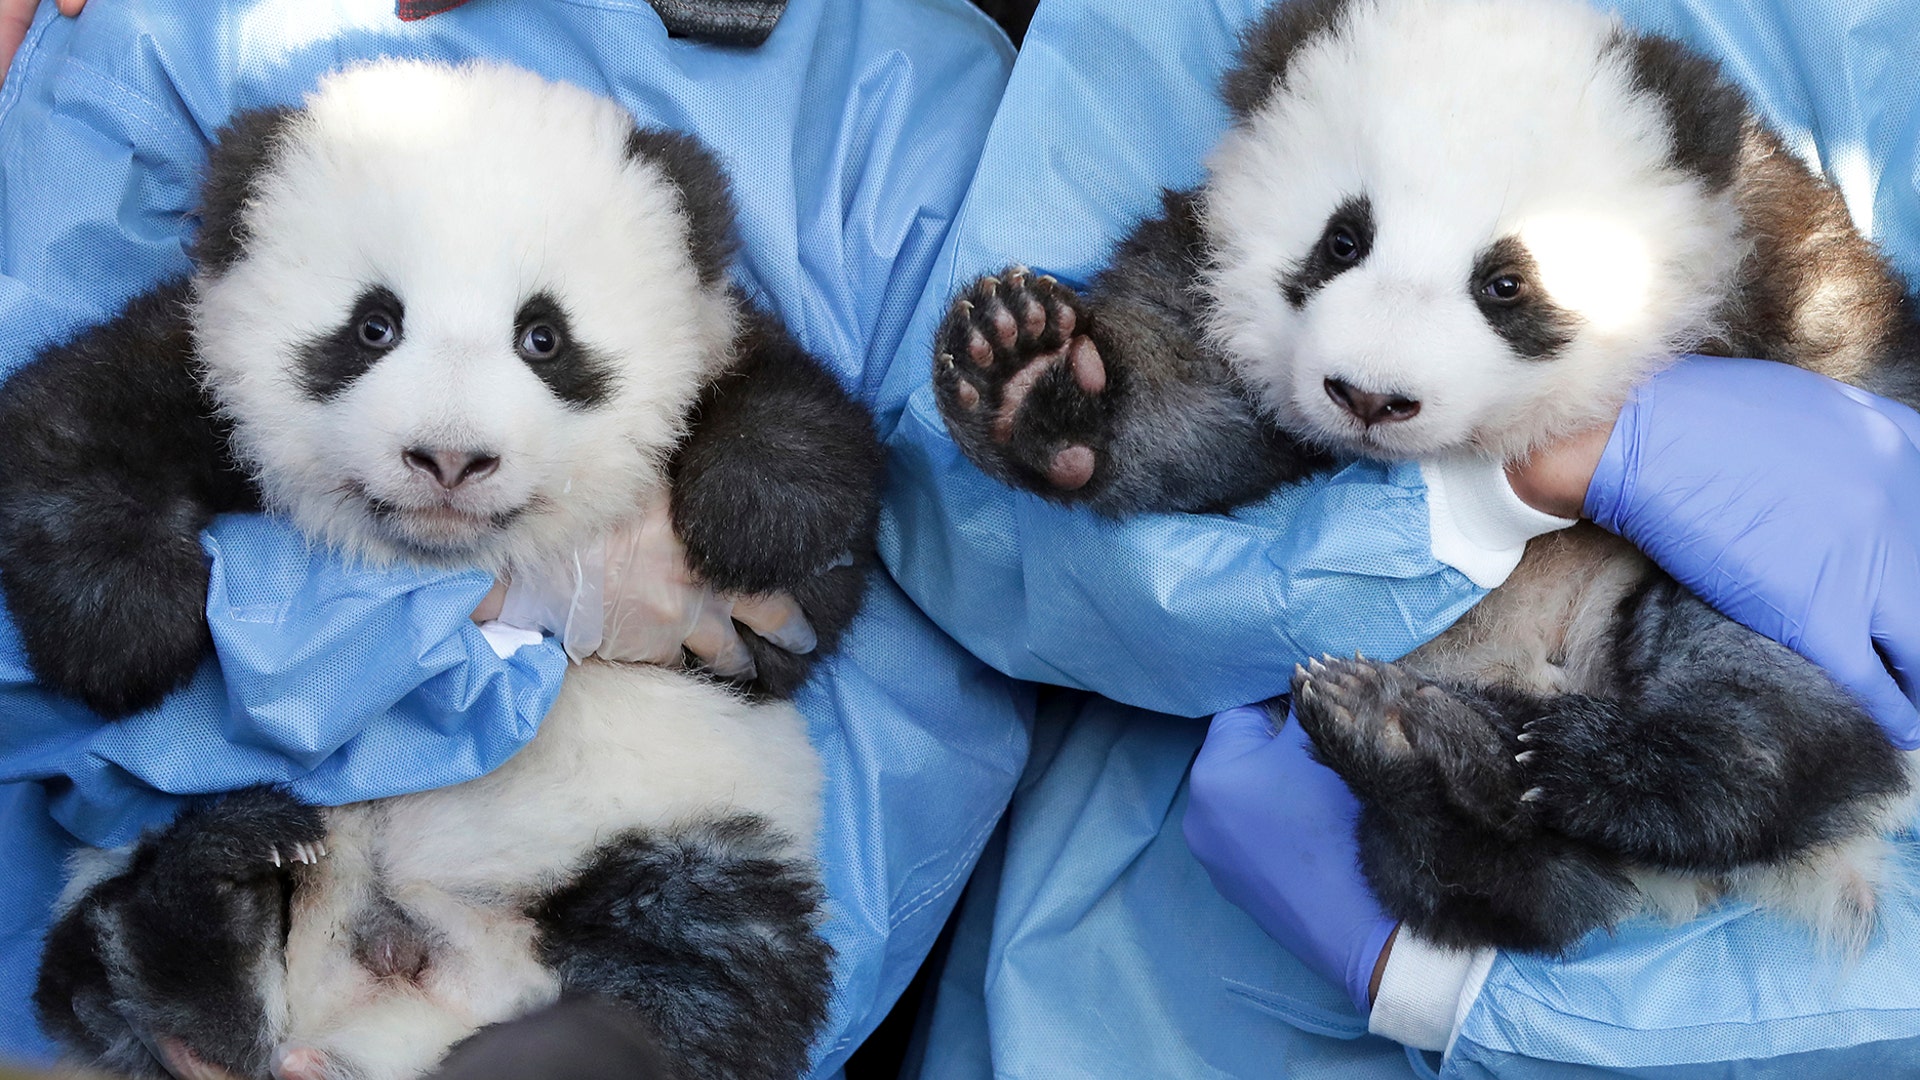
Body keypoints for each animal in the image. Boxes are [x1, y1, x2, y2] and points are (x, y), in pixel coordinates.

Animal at [0, 61, 881, 1080]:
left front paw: (753, 515)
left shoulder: (742, 602)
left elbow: (800, 579)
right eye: (374, 326)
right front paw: (128, 621)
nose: (450, 459)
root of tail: (396, 977)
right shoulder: (191, 370)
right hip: (148, 843)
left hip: (691, 830)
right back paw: (218, 893)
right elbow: (76, 419)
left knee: (711, 973)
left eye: (544, 337)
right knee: (99, 968)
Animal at [932, 0, 1920, 954]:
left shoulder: (1775, 263)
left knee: (1765, 686)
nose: (1370, 396)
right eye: (1341, 240)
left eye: (1505, 283)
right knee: (1498, 884)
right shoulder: (1210, 271)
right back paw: (1422, 754)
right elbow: (1192, 415)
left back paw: (1606, 765)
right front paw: (1026, 377)